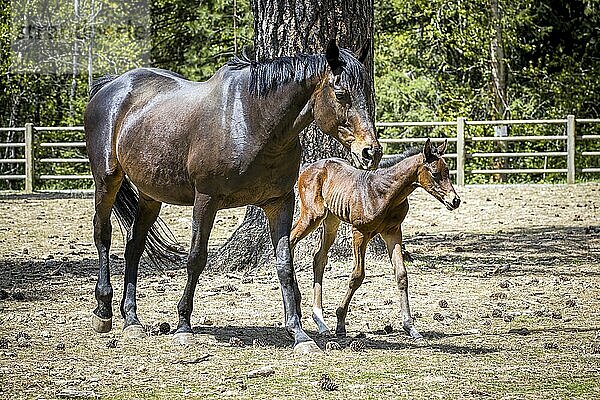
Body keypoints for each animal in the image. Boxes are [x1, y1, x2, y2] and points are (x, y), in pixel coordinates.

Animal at [290, 139, 460, 340]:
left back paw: (320, 322)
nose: (455, 200)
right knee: (290, 241)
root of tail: (308, 168)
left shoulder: (393, 232)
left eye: (448, 172)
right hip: (312, 215)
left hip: (331, 219)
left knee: (319, 257)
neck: (384, 192)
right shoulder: (359, 232)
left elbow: (401, 275)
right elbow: (357, 275)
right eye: (435, 173)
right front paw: (340, 323)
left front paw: (410, 327)